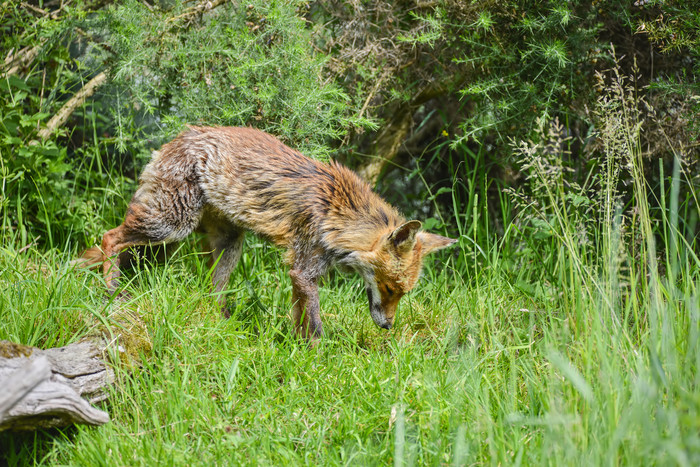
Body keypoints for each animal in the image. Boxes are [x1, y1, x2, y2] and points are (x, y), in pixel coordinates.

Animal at [82, 127, 456, 340]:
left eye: (403, 293)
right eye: (390, 288)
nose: (388, 327)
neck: (337, 214)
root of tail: (177, 139)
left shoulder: (300, 276)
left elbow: (300, 320)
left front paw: (297, 351)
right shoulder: (304, 269)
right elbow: (315, 327)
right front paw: (319, 360)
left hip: (228, 244)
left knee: (211, 293)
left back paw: (222, 324)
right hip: (170, 224)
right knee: (109, 237)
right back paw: (111, 290)